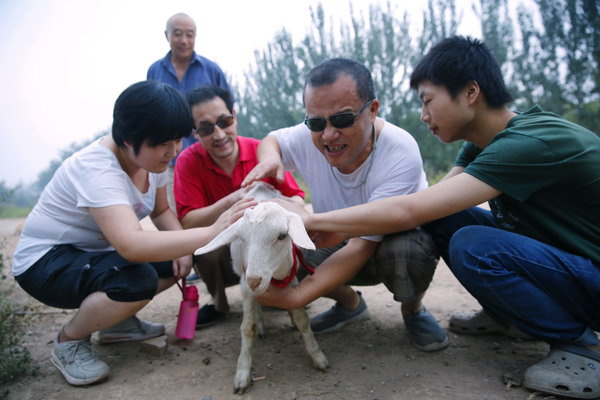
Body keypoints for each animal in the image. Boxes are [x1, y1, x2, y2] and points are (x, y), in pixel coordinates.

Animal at [196, 184, 328, 394]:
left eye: (282, 235)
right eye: (242, 239)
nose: (254, 280)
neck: (276, 275)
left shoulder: (292, 281)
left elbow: (302, 319)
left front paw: (317, 355)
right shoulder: (244, 285)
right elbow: (246, 328)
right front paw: (242, 373)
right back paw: (260, 324)